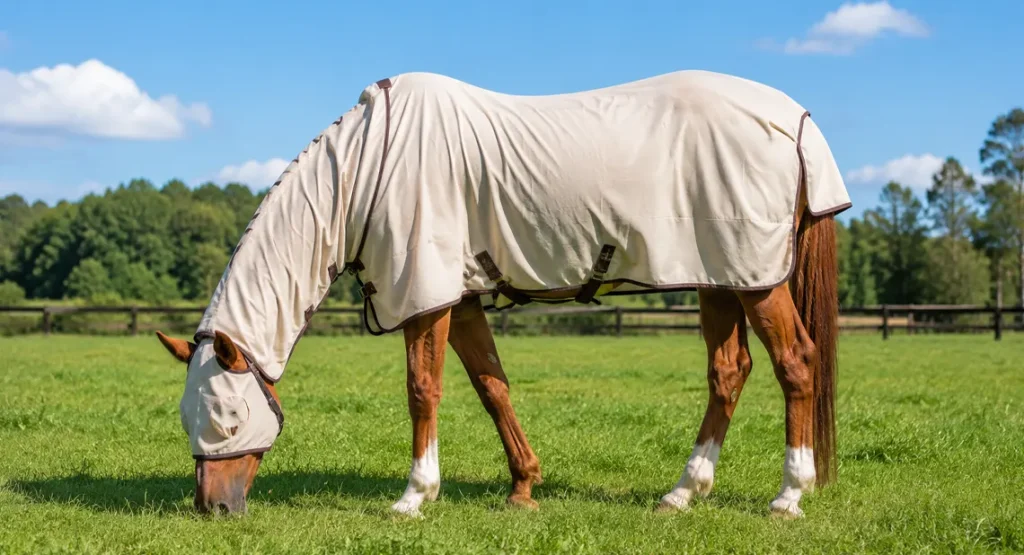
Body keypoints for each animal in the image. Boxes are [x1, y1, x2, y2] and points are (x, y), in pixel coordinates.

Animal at [155, 69, 850, 518]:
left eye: (229, 416)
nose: (213, 509)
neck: (369, 170)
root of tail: (796, 121)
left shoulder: (425, 297)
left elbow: (423, 390)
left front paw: (414, 496)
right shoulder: (459, 299)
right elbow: (492, 386)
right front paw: (523, 487)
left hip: (759, 281)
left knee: (795, 363)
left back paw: (788, 495)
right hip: (721, 278)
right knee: (729, 372)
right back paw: (682, 492)